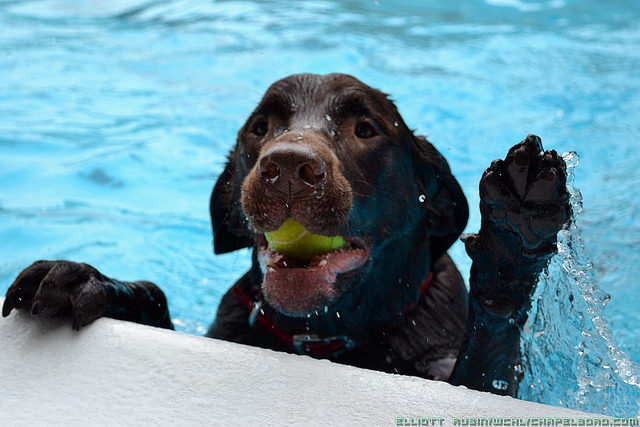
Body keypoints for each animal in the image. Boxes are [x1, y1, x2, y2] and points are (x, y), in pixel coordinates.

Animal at [1, 74, 568, 398]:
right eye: (260, 127)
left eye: (366, 129)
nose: (289, 168)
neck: (322, 339)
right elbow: (155, 298)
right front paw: (84, 279)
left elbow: (487, 365)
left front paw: (513, 242)